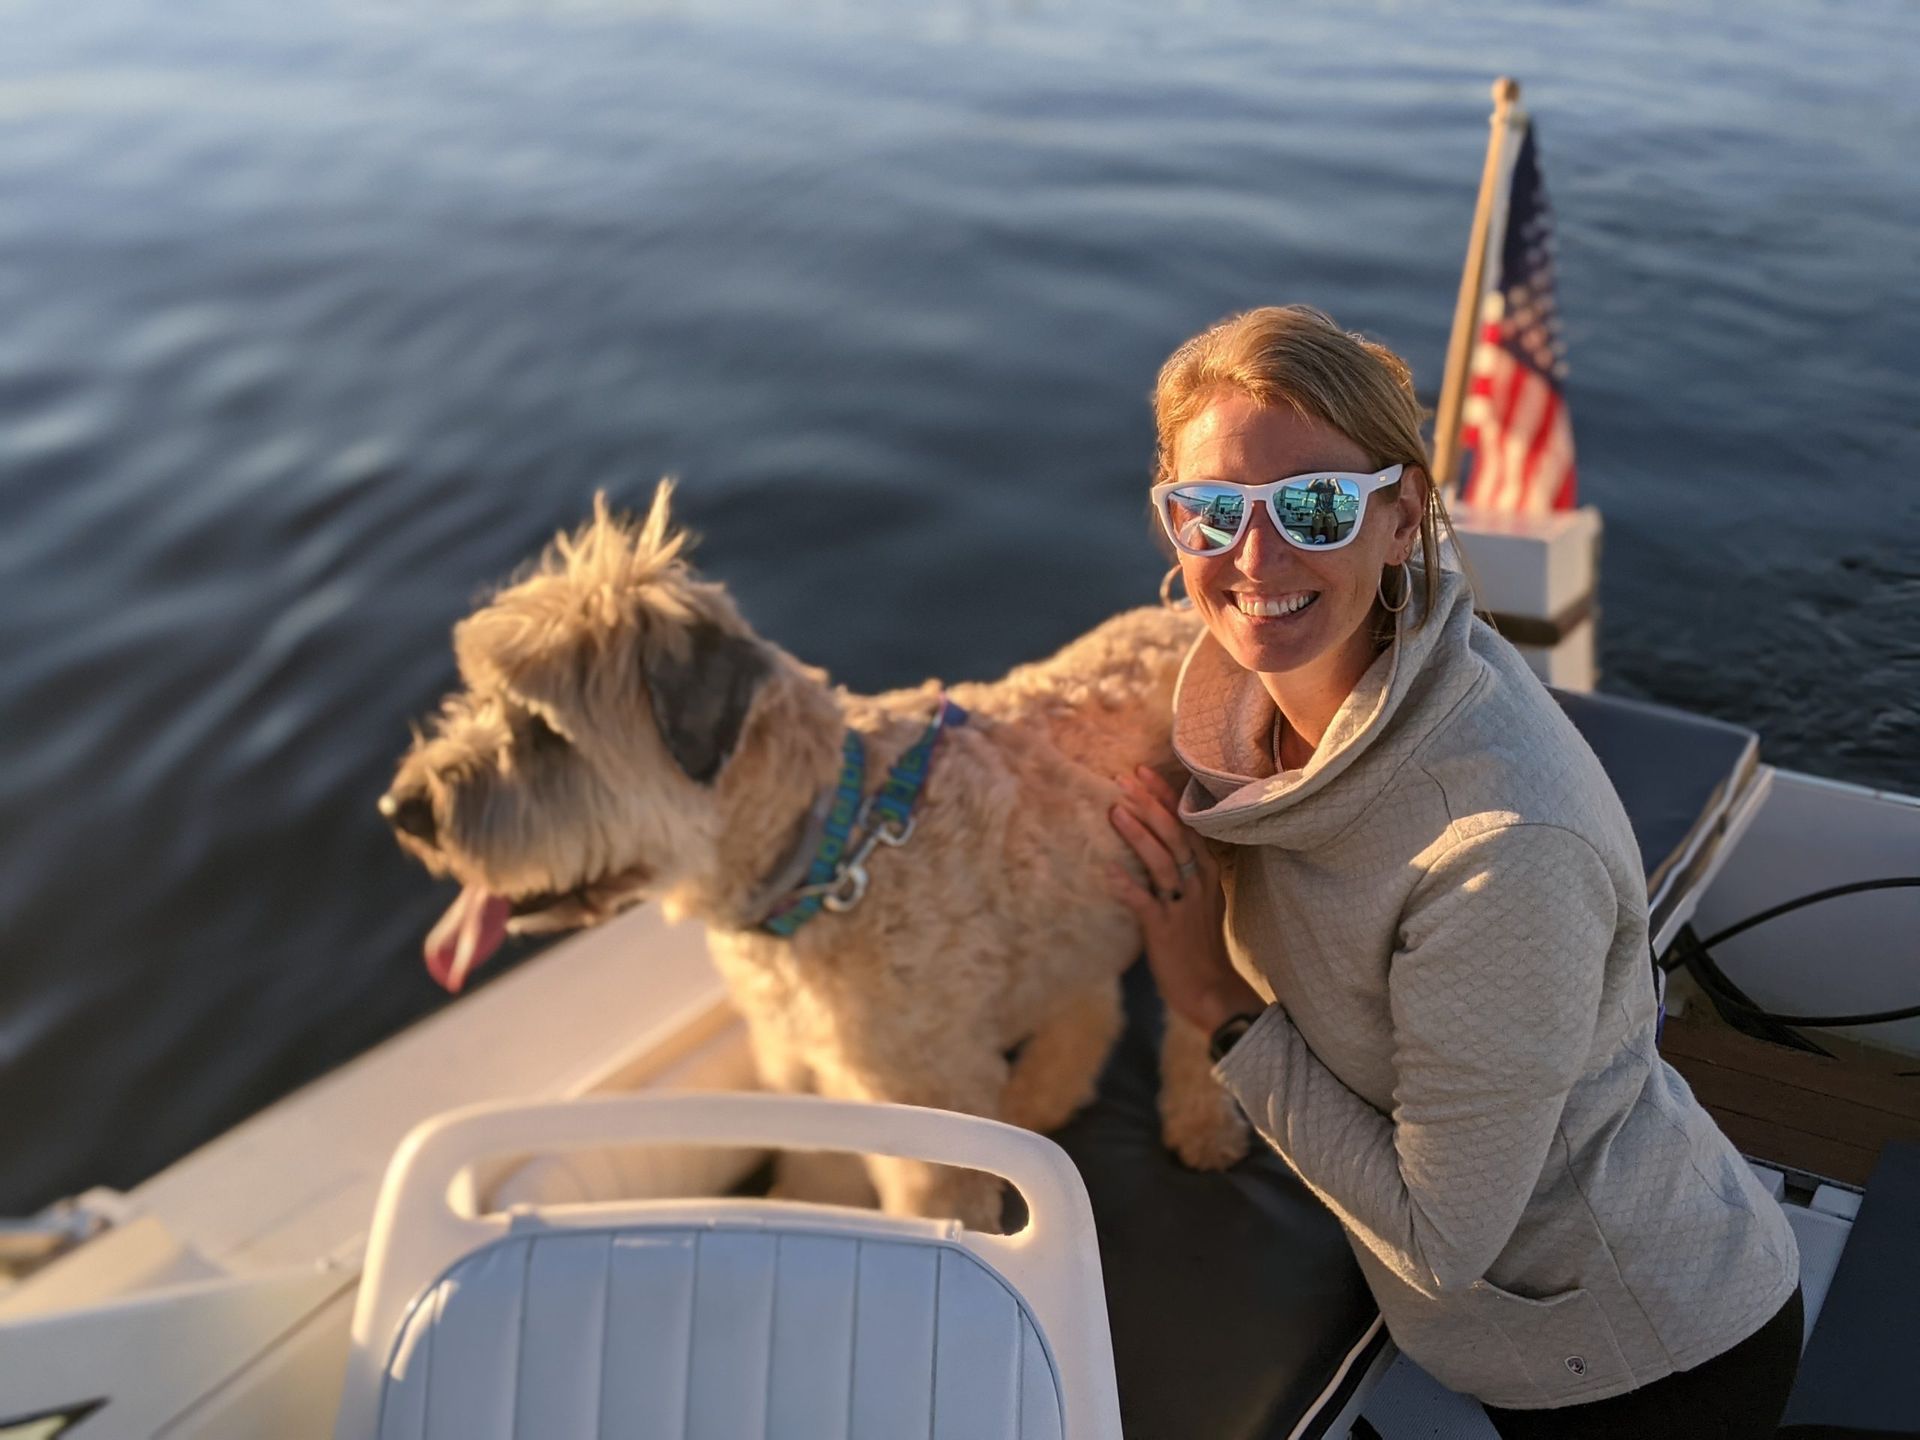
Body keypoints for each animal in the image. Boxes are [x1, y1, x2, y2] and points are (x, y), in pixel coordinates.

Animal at [382, 485, 1251, 1228]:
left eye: (543, 729)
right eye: (479, 695)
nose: (403, 810)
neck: (828, 854)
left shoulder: (925, 1111)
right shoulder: (810, 1071)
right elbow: (817, 1175)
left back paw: (1200, 1123)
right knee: (1092, 1000)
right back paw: (1042, 1095)